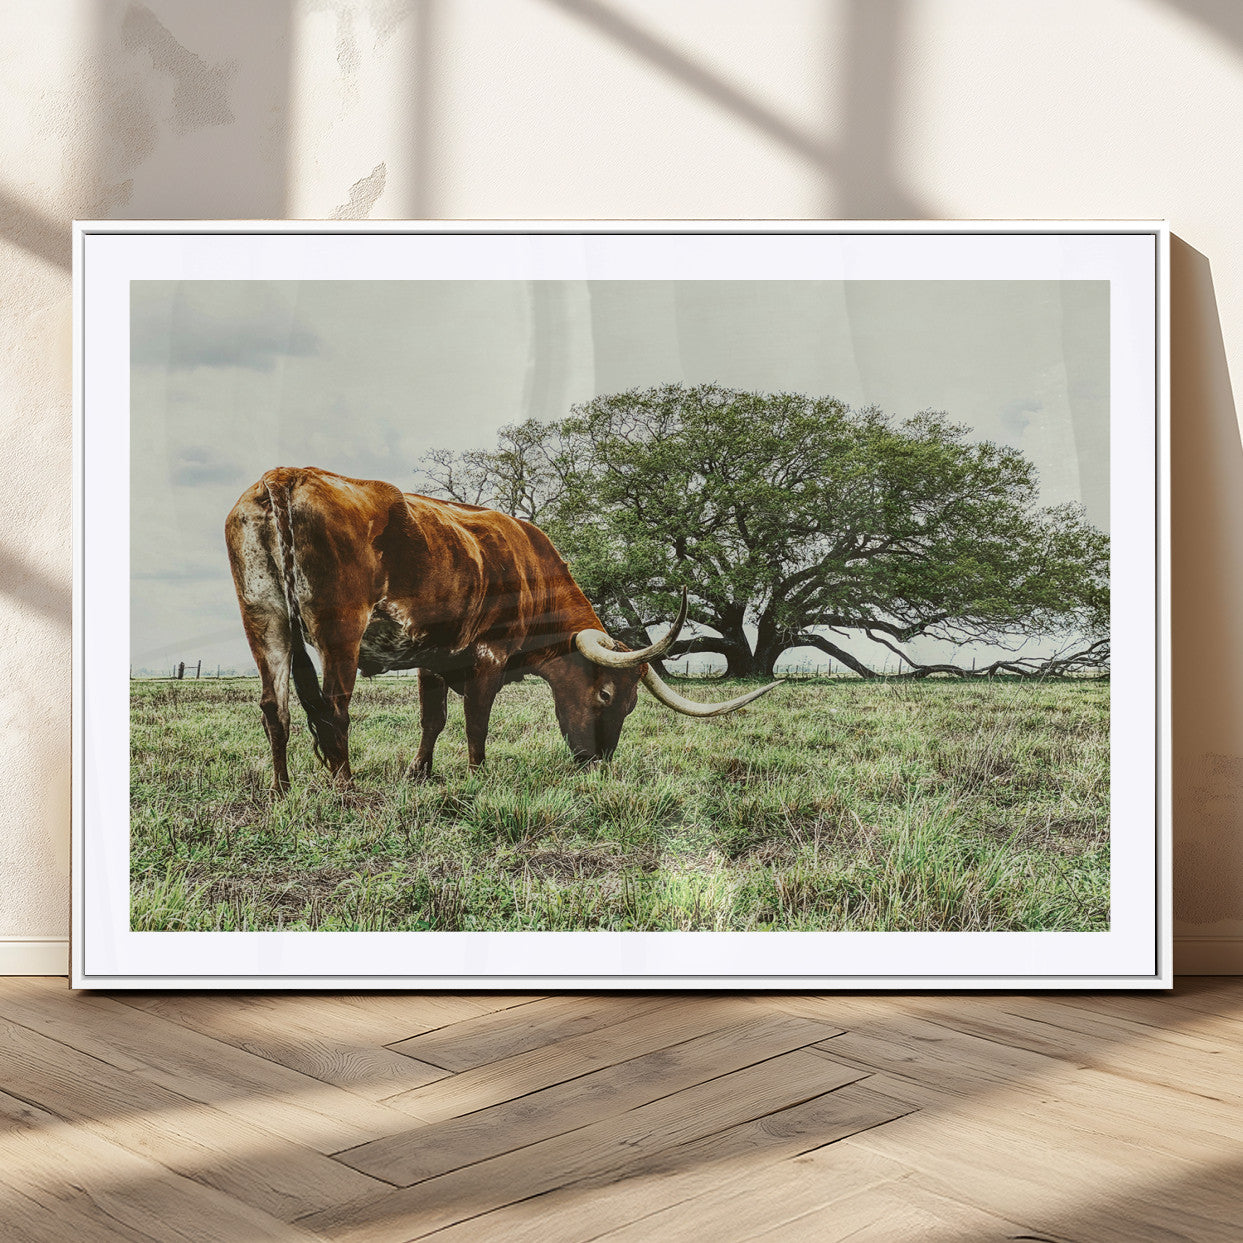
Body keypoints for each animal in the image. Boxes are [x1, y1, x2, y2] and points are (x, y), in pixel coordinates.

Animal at [225, 466, 781, 792]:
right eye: (605, 695)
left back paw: (281, 790)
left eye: (631, 705)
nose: (596, 764)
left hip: (264, 621)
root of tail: (284, 476)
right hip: (339, 627)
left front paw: (420, 773)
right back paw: (345, 788)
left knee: (275, 707)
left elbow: (432, 720)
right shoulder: (487, 655)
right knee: (334, 706)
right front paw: (477, 775)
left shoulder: (431, 656)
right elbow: (476, 720)